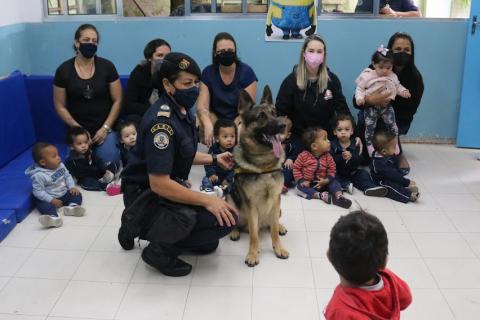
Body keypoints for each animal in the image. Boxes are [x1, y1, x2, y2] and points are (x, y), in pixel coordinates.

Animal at [228, 85, 290, 268]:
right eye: (261, 116)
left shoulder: (276, 198)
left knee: (272, 224)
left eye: (274, 112)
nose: (283, 125)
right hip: (229, 198)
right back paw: (235, 231)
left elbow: (274, 230)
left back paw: (280, 226)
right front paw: (253, 254)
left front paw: (278, 248)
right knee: (238, 223)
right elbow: (254, 235)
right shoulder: (251, 205)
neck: (264, 166)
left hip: (278, 208)